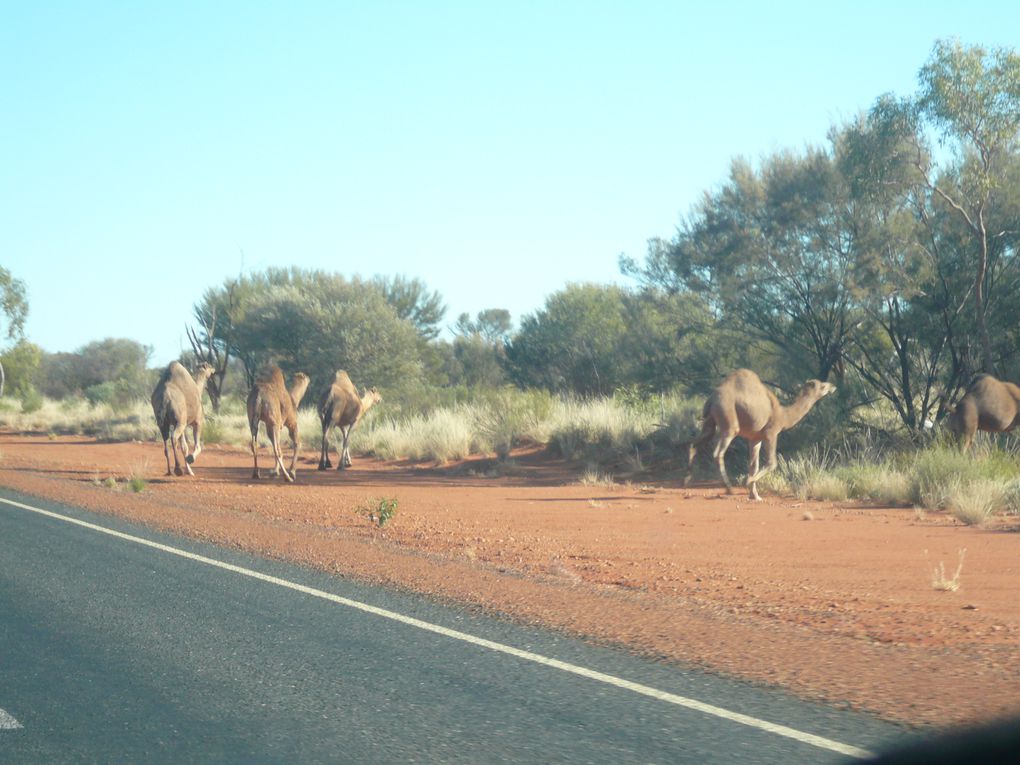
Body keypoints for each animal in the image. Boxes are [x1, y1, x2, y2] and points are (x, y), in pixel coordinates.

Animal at [685, 369, 836, 503]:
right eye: (822, 386)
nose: (833, 386)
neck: (784, 415)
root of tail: (712, 398)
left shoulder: (755, 438)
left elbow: (754, 466)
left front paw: (755, 496)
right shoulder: (771, 433)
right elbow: (771, 463)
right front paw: (747, 481)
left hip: (710, 422)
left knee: (694, 443)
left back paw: (687, 480)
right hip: (729, 420)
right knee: (718, 453)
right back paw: (729, 489)